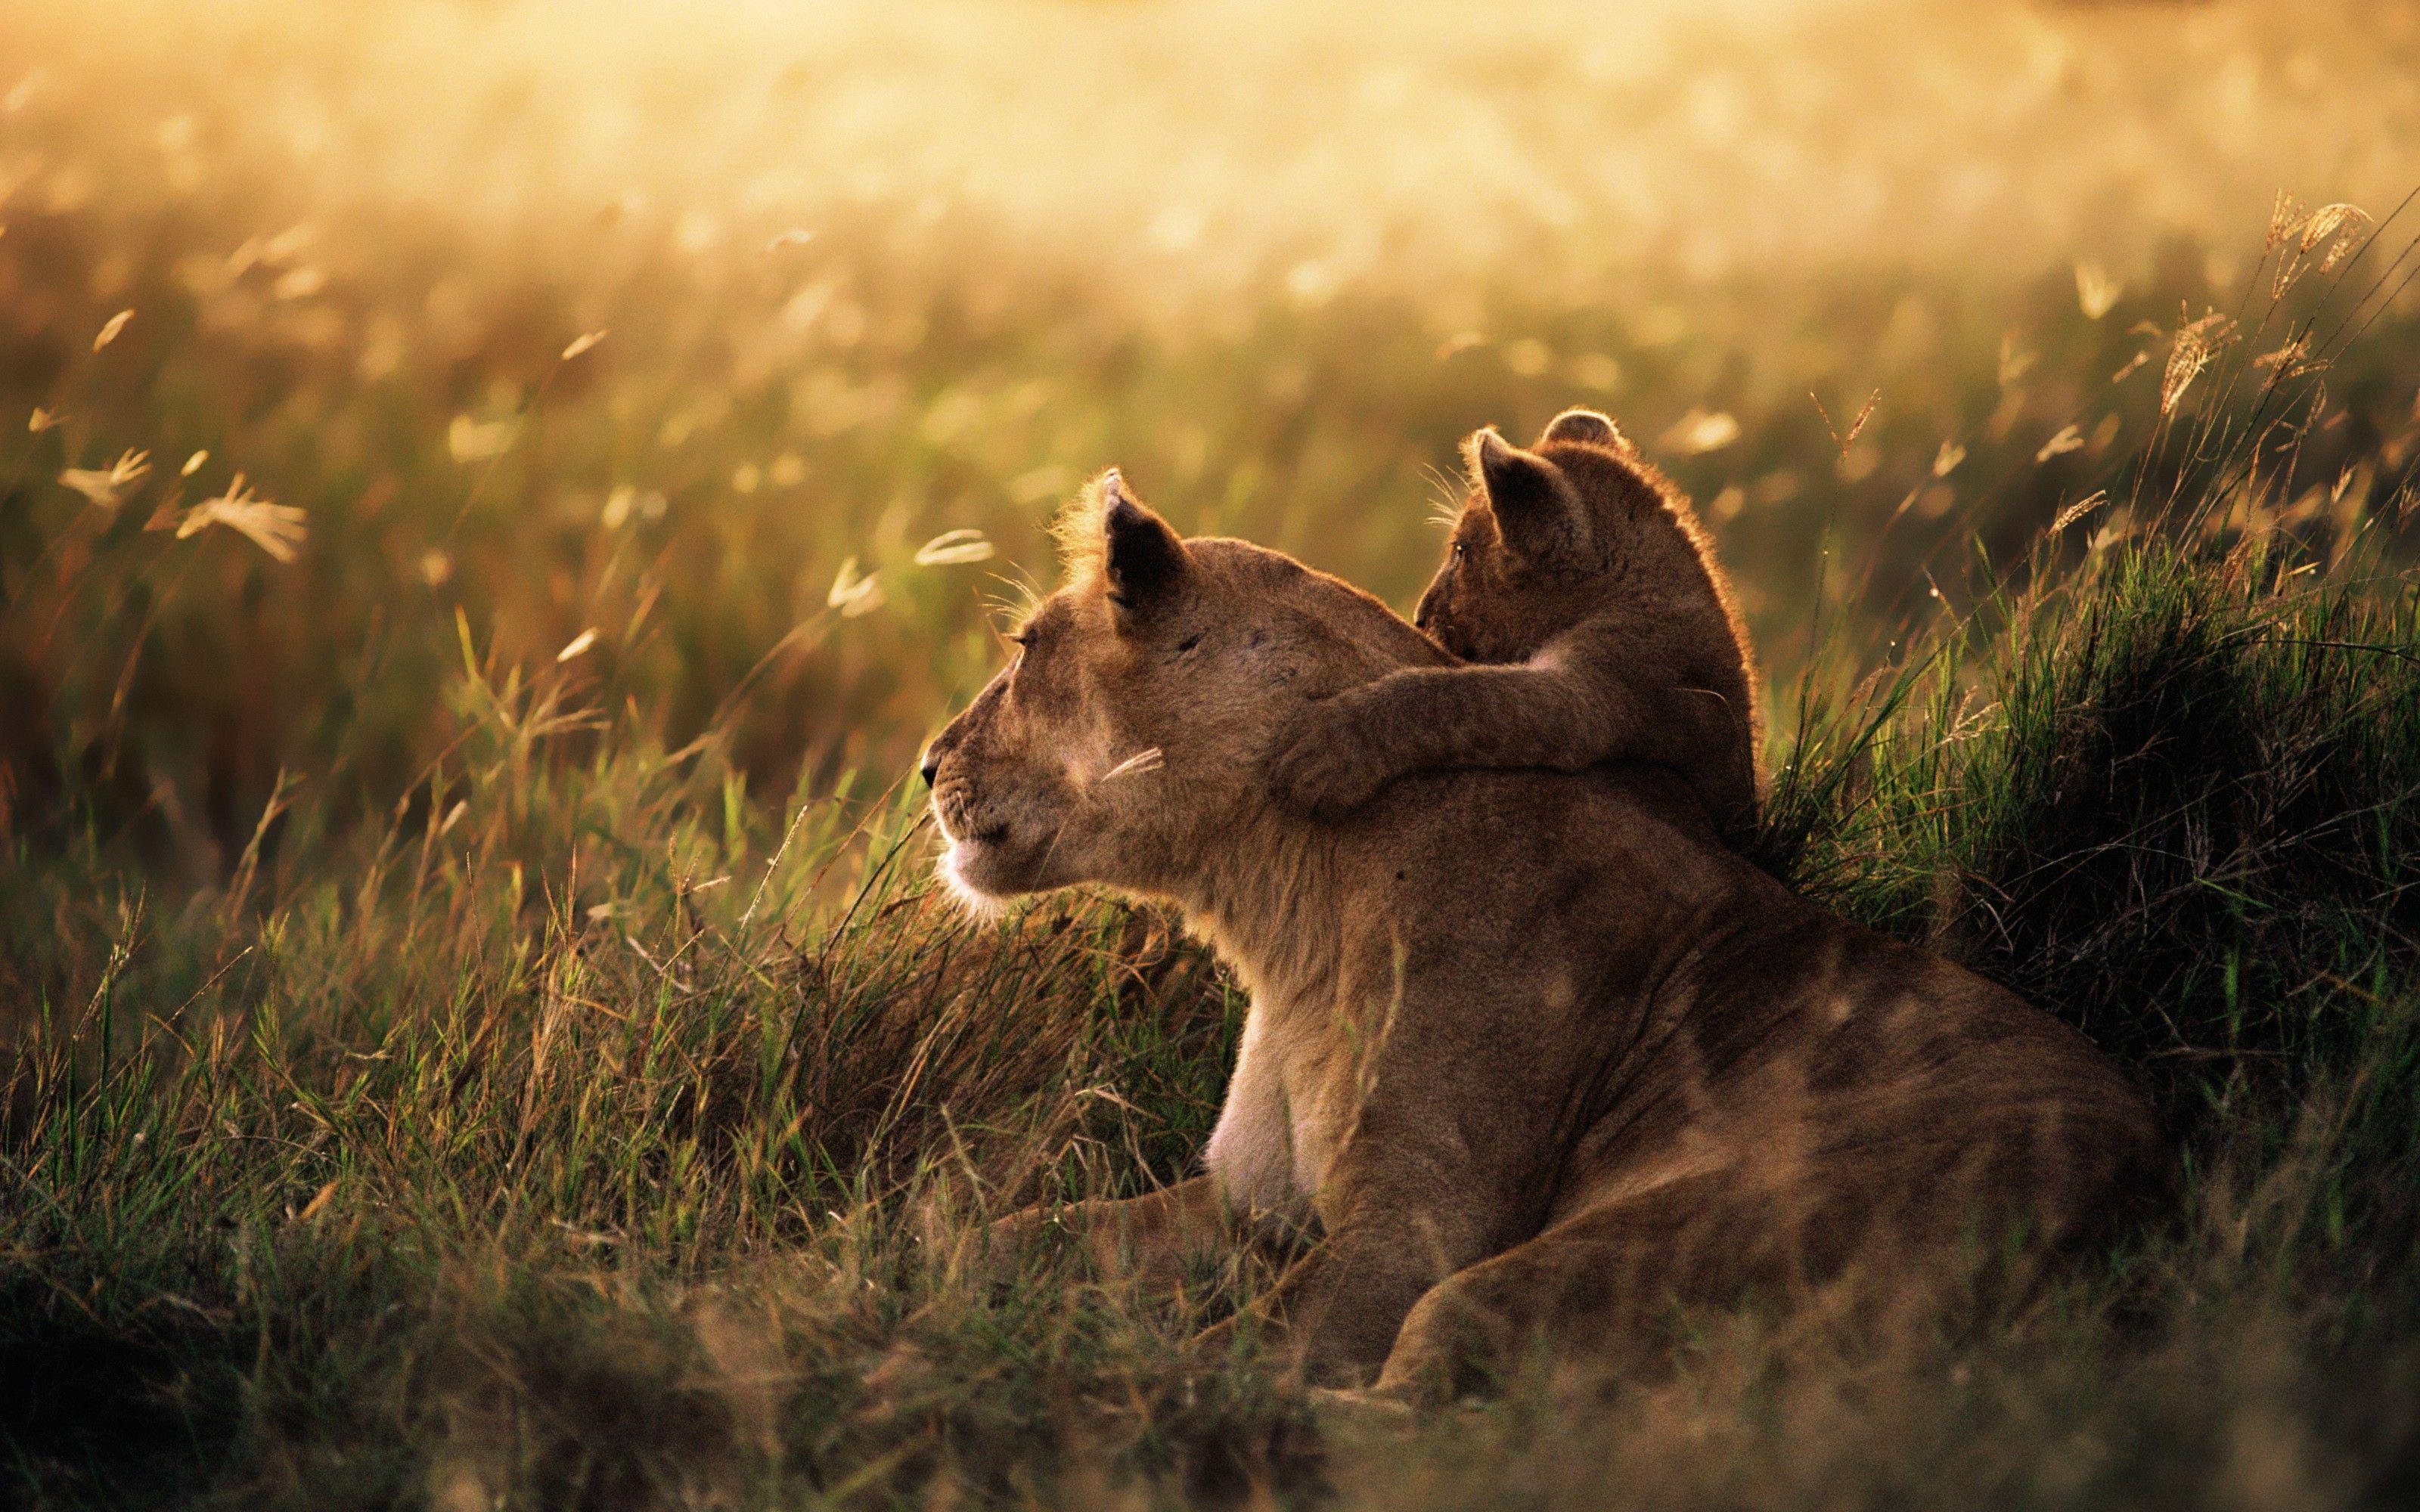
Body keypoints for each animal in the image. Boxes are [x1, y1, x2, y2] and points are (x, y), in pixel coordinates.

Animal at [920, 472, 2162, 1400]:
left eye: (1025, 647)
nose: (927, 765)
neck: (1283, 907)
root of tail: (2144, 1196)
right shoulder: (1247, 1202)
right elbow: (1007, 1233)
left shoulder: (1417, 1227)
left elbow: (1236, 1357)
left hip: (1607, 1252)